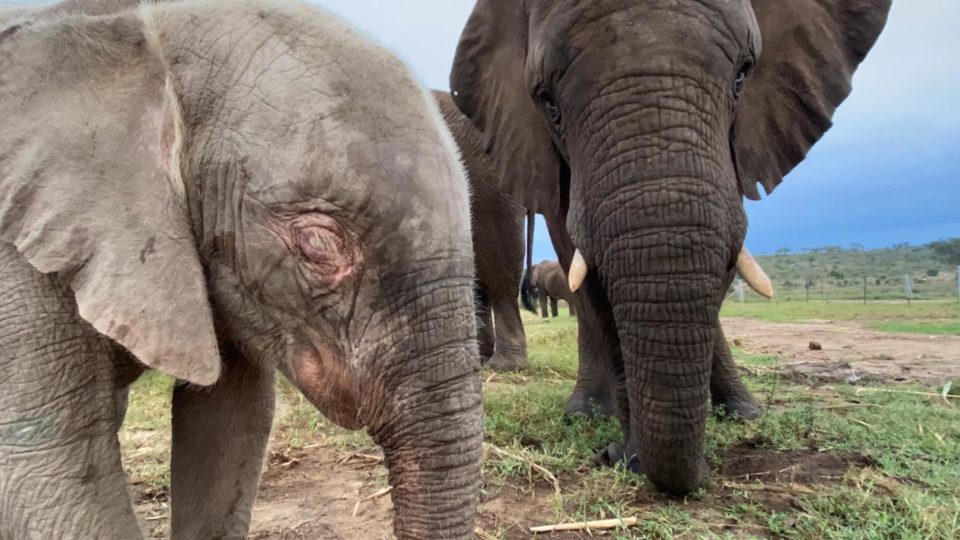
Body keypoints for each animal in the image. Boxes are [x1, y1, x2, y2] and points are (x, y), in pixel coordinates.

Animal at [450, 0, 891, 494]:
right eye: (547, 100)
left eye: (744, 73)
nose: (610, 455)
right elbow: (588, 271)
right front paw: (632, 454)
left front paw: (713, 425)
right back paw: (585, 413)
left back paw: (740, 412)